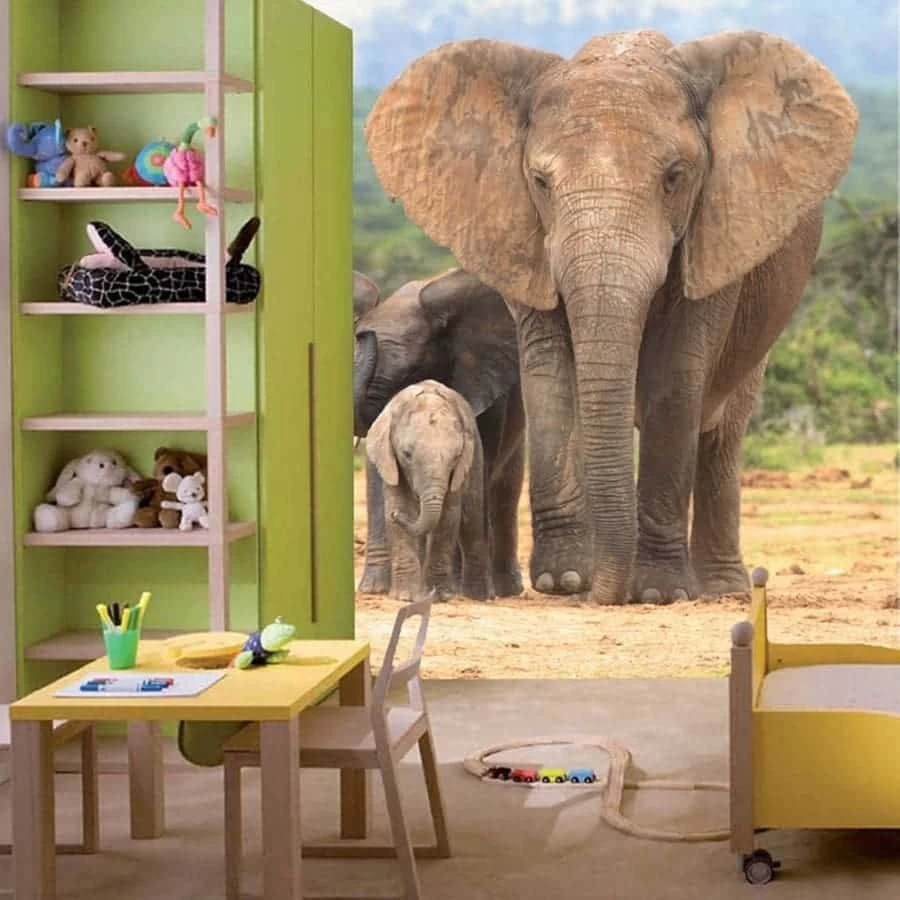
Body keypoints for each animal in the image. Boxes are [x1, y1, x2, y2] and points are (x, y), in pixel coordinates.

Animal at [366, 379, 491, 600]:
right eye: (406, 454)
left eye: (456, 456)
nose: (396, 516)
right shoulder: (391, 462)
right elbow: (400, 509)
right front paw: (405, 597)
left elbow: (448, 518)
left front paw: (440, 596)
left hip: (476, 455)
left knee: (472, 523)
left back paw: (476, 597)